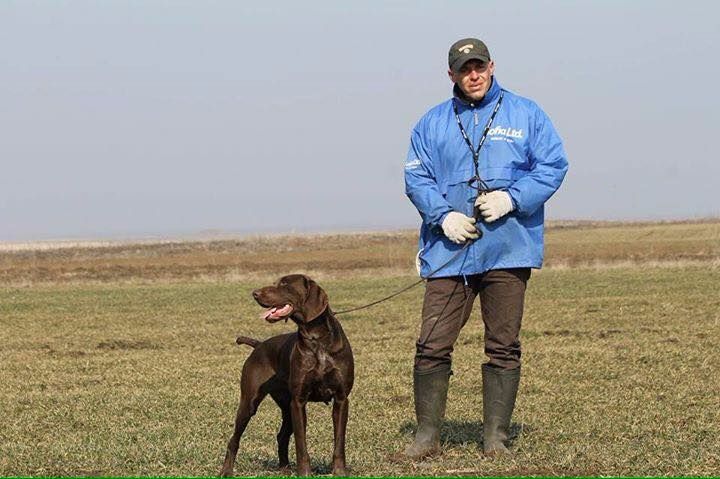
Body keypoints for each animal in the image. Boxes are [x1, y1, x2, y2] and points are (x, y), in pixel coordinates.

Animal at [219, 274, 354, 476]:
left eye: (284, 284)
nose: (255, 293)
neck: (316, 339)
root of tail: (259, 344)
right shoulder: (298, 401)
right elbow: (301, 443)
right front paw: (304, 473)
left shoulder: (341, 399)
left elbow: (339, 441)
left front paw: (339, 472)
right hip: (249, 403)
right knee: (234, 439)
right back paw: (226, 471)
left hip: (285, 405)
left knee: (281, 436)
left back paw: (284, 468)